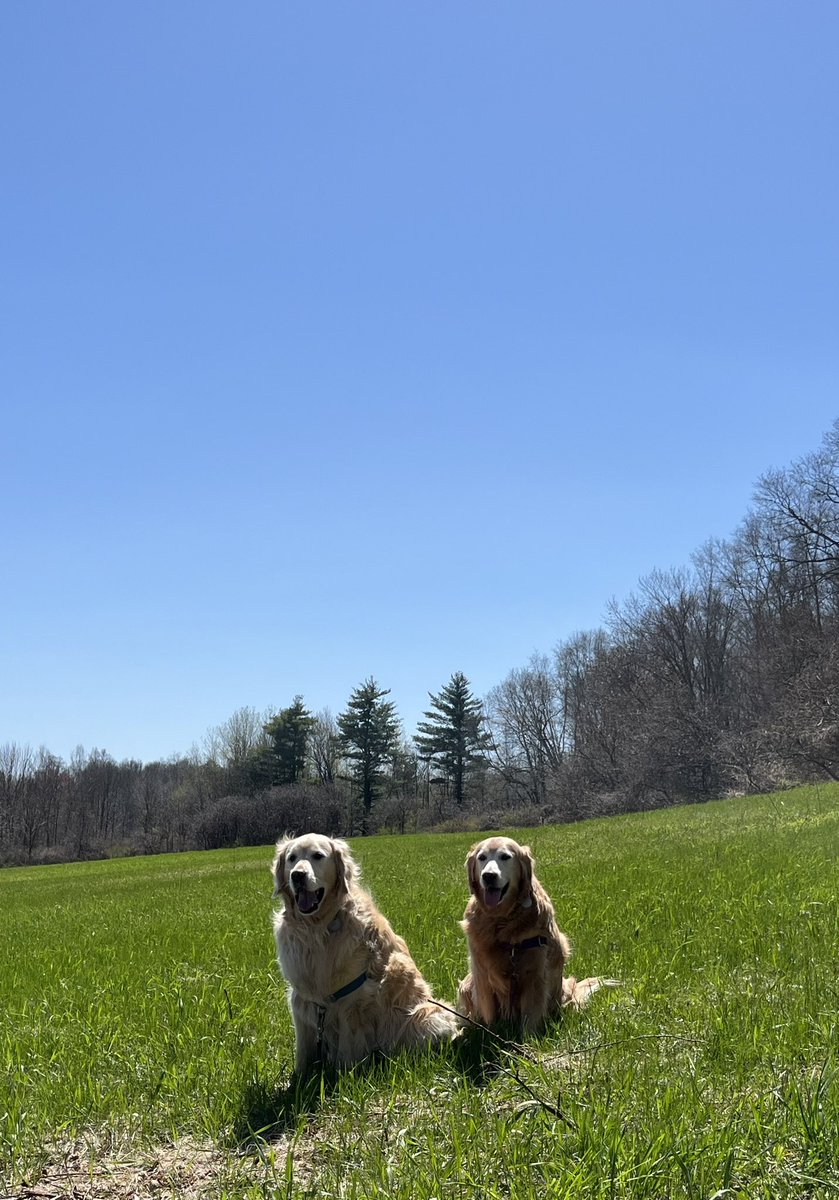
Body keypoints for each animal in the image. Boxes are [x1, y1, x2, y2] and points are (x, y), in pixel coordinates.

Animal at [272, 835, 458, 1070]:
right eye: (292, 858)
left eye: (318, 856)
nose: (297, 875)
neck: (318, 928)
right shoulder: (302, 999)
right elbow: (303, 1054)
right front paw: (300, 1077)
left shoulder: (352, 1000)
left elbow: (346, 1054)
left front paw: (344, 1076)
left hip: (430, 1014)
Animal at [458, 835, 619, 1032]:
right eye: (482, 857)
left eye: (505, 857)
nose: (488, 876)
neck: (503, 921)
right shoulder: (481, 973)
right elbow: (489, 1014)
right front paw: (489, 1033)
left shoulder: (536, 973)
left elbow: (531, 1016)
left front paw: (528, 1039)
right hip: (467, 984)